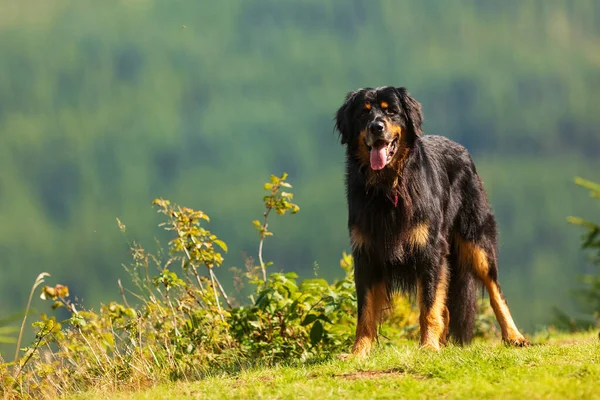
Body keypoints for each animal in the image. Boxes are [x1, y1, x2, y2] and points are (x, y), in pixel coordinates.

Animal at [336, 85, 528, 356]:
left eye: (391, 111)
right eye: (364, 113)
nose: (376, 127)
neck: (388, 188)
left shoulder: (430, 250)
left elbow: (428, 306)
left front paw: (428, 346)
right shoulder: (365, 255)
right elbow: (365, 312)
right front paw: (358, 352)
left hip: (476, 241)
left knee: (495, 290)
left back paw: (514, 336)